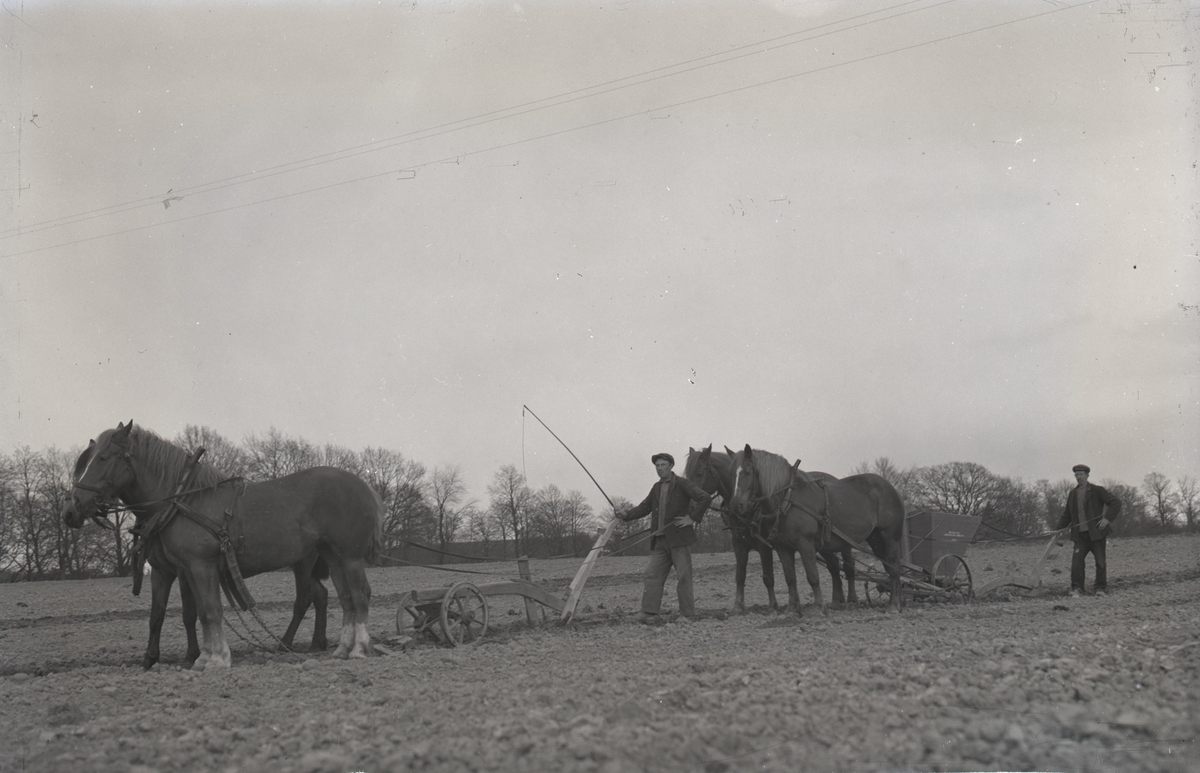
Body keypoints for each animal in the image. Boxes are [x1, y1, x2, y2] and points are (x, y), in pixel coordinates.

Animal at [63, 420, 381, 667]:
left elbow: (209, 610)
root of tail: (365, 486)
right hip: (333, 557)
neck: (184, 500)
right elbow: (197, 613)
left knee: (358, 594)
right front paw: (201, 657)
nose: (73, 508)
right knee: (344, 597)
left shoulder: (200, 566)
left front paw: (215, 658)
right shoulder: (185, 569)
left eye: (103, 458)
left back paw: (358, 649)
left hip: (347, 557)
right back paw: (340, 650)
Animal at [686, 444, 864, 612]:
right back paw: (837, 599)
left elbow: (768, 577)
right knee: (833, 564)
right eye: (687, 475)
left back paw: (851, 599)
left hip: (840, 542)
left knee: (847, 566)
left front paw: (773, 605)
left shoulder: (764, 545)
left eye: (699, 473)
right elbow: (740, 576)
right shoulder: (739, 544)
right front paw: (738, 606)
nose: (691, 507)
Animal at [720, 444, 902, 612]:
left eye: (747, 472)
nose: (736, 506)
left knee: (892, 567)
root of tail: (890, 487)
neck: (787, 499)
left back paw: (893, 604)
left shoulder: (805, 543)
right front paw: (792, 608)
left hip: (889, 535)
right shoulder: (782, 547)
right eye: (731, 474)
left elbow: (813, 576)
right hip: (875, 538)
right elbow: (790, 578)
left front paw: (818, 607)